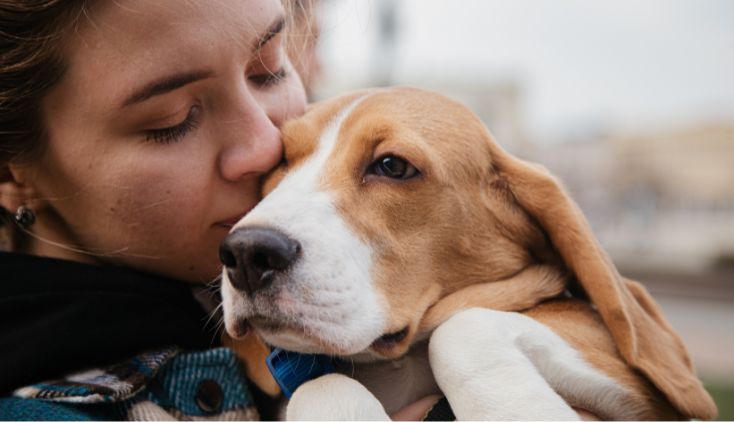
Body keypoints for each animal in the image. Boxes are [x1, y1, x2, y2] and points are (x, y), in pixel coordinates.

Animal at [221, 87, 720, 420]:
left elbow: (461, 327)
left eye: (392, 166)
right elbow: (321, 384)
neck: (396, 365)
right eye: (280, 163)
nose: (246, 253)